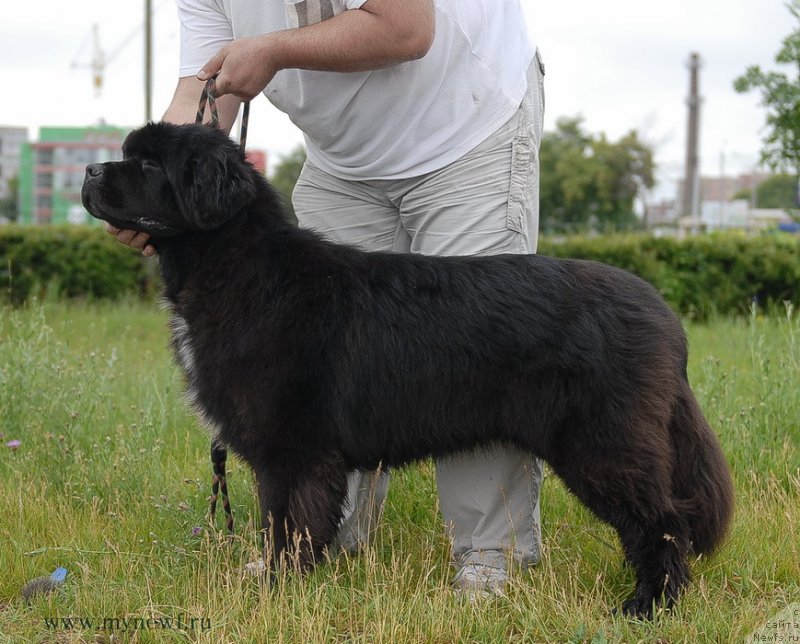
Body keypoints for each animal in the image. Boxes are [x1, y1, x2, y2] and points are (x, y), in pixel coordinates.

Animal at [81, 122, 732, 620]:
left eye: (146, 162)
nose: (88, 170)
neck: (240, 268)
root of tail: (663, 314)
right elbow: (296, 522)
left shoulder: (290, 448)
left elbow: (285, 523)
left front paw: (276, 588)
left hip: (603, 443)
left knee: (663, 519)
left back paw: (648, 606)